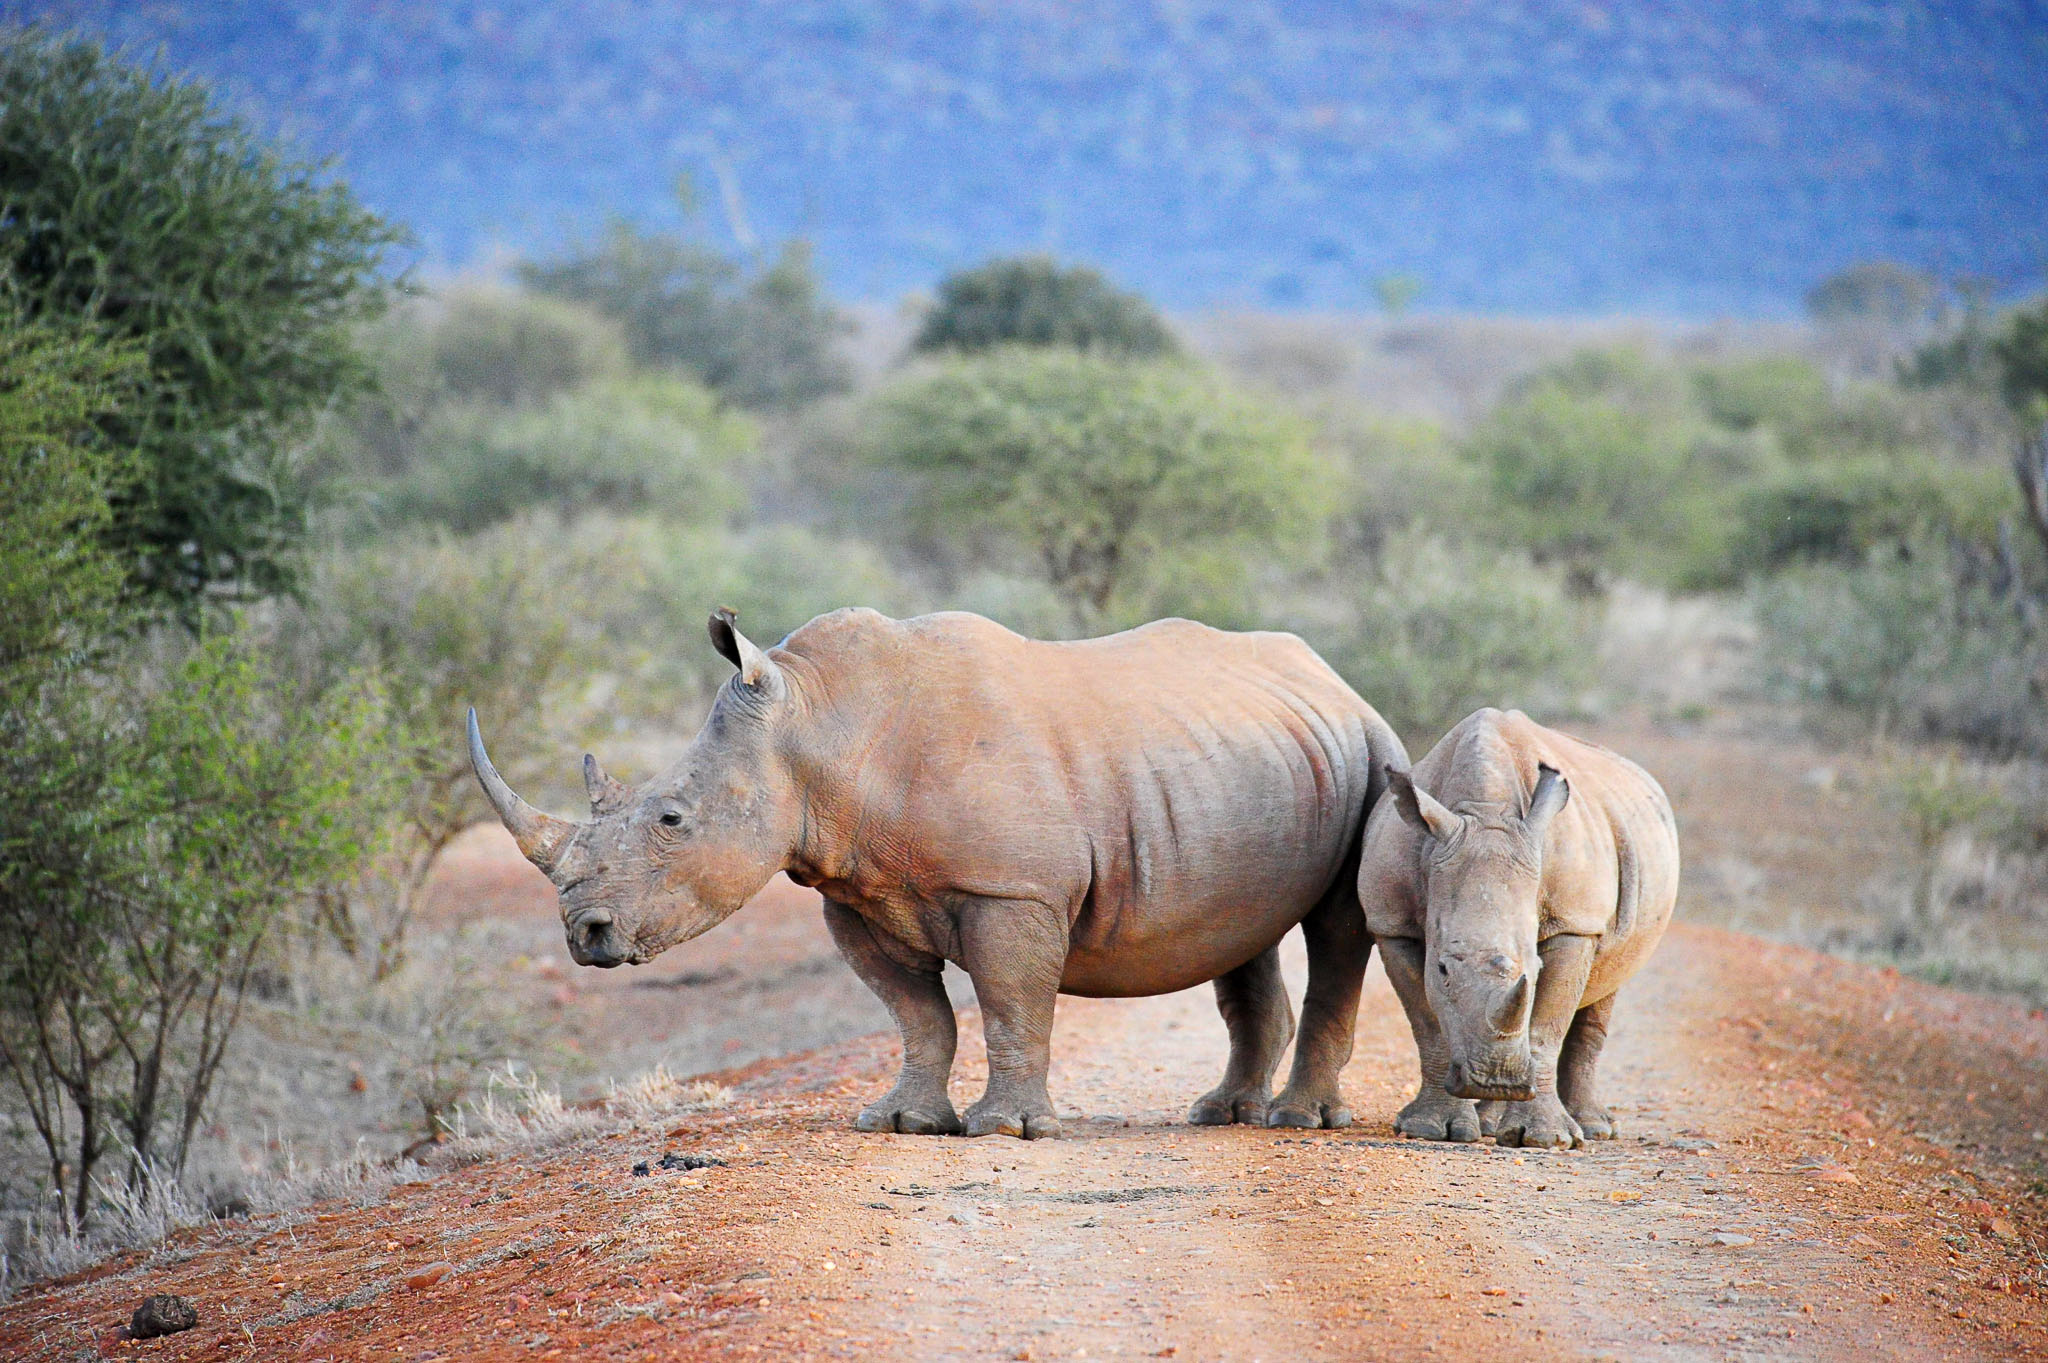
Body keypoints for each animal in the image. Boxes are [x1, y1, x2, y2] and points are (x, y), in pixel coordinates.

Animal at [468, 606, 1407, 1139]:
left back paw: (1294, 1121)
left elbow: (1010, 1002)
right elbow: (917, 1014)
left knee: (1336, 927)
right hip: (1250, 757)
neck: (821, 726)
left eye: (671, 819)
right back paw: (1222, 1114)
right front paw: (901, 1121)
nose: (585, 934)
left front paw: (1009, 1130)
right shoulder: (854, 892)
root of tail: (1334, 678)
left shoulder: (1012, 889)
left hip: (1374, 751)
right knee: (1238, 931)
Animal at [1359, 708, 1677, 1149]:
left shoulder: (1574, 922)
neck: (1485, 812)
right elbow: (1427, 1023)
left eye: (1537, 969)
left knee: (1609, 984)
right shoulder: (1391, 924)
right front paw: (1430, 1129)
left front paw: (1545, 1139)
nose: (1495, 1079)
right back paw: (1492, 1123)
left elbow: (1545, 1028)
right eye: (1442, 968)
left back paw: (1593, 1128)